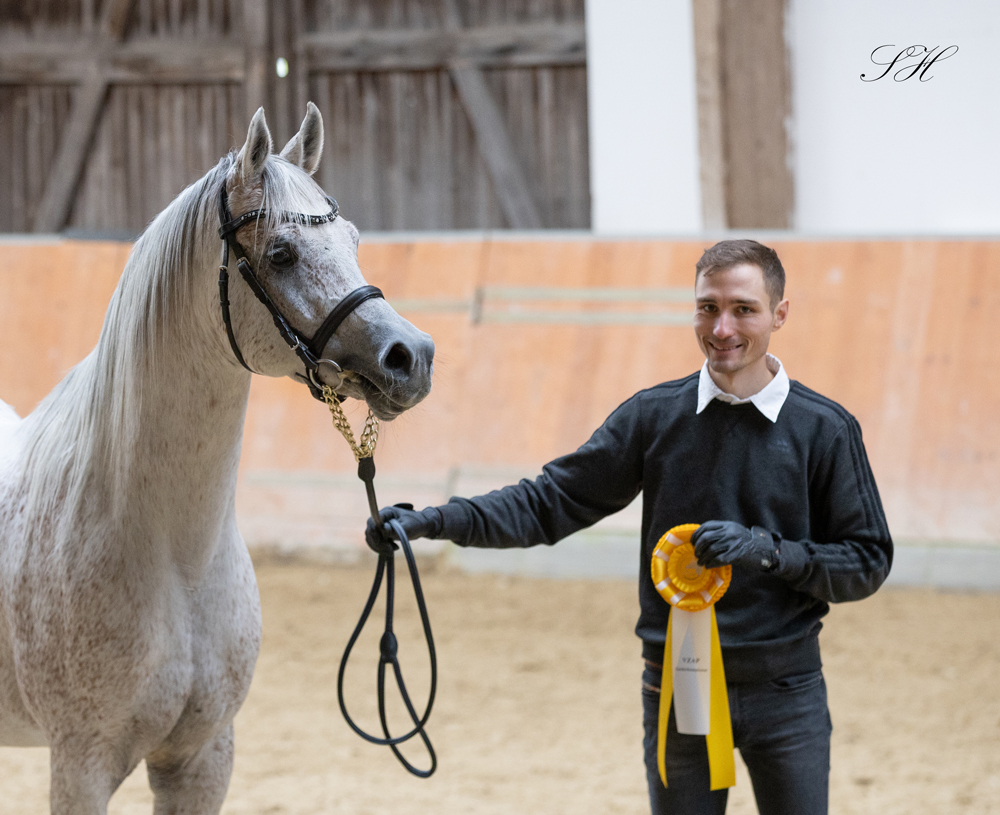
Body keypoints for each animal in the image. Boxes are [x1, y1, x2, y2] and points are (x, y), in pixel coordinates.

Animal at [0, 103, 434, 813]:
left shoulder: (203, 758)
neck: (170, 557)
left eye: (353, 239)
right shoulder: (80, 765)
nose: (411, 357)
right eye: (281, 252)